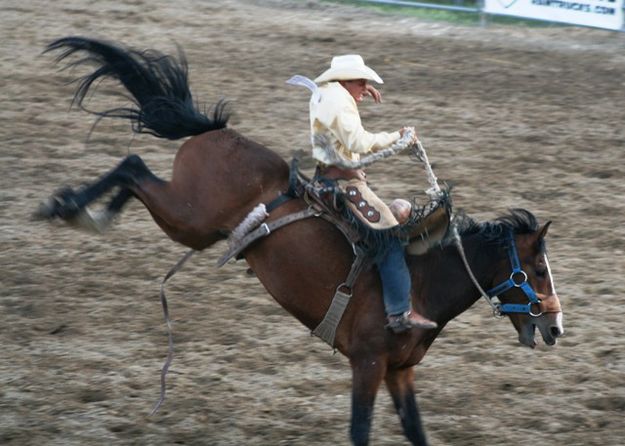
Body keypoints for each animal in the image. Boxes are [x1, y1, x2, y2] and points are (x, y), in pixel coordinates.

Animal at [39, 37, 564, 446]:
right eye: (537, 270)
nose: (556, 328)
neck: (423, 280)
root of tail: (216, 132)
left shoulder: (400, 371)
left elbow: (416, 432)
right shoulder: (368, 363)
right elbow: (359, 430)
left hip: (192, 223)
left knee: (134, 173)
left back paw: (88, 214)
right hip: (190, 219)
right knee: (131, 166)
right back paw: (68, 207)